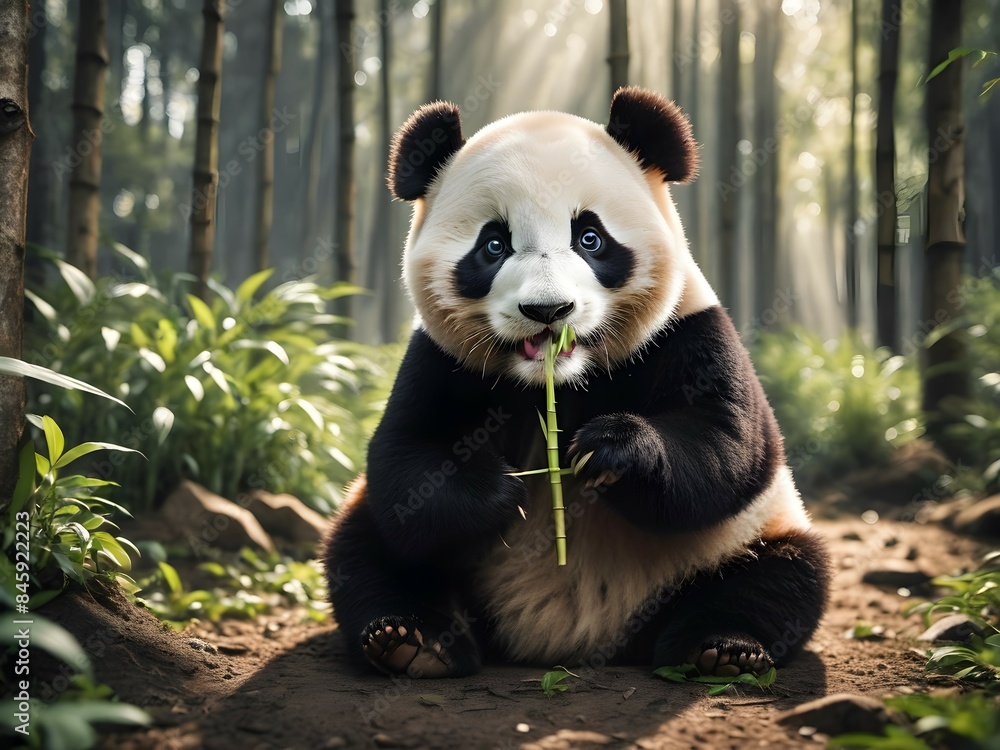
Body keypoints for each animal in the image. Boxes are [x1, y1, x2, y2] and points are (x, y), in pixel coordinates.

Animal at [323, 87, 830, 680]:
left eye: (590, 237)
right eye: (493, 245)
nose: (547, 310)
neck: (562, 382)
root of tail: (573, 643)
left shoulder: (688, 329)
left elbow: (728, 443)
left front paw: (610, 449)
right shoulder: (439, 360)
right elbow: (407, 457)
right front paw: (499, 489)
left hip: (749, 534)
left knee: (782, 577)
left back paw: (723, 648)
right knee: (368, 552)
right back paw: (412, 642)